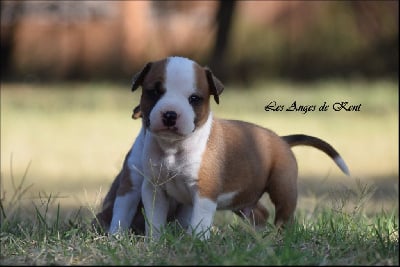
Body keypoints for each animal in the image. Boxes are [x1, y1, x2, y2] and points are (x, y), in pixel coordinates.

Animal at [97, 56, 350, 241]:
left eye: (194, 98)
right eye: (155, 91)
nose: (170, 115)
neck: (174, 147)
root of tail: (281, 139)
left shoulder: (204, 193)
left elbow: (198, 223)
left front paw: (196, 244)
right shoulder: (153, 189)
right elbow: (153, 220)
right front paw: (154, 243)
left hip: (283, 187)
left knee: (283, 215)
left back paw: (278, 238)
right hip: (244, 198)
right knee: (260, 213)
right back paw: (258, 237)